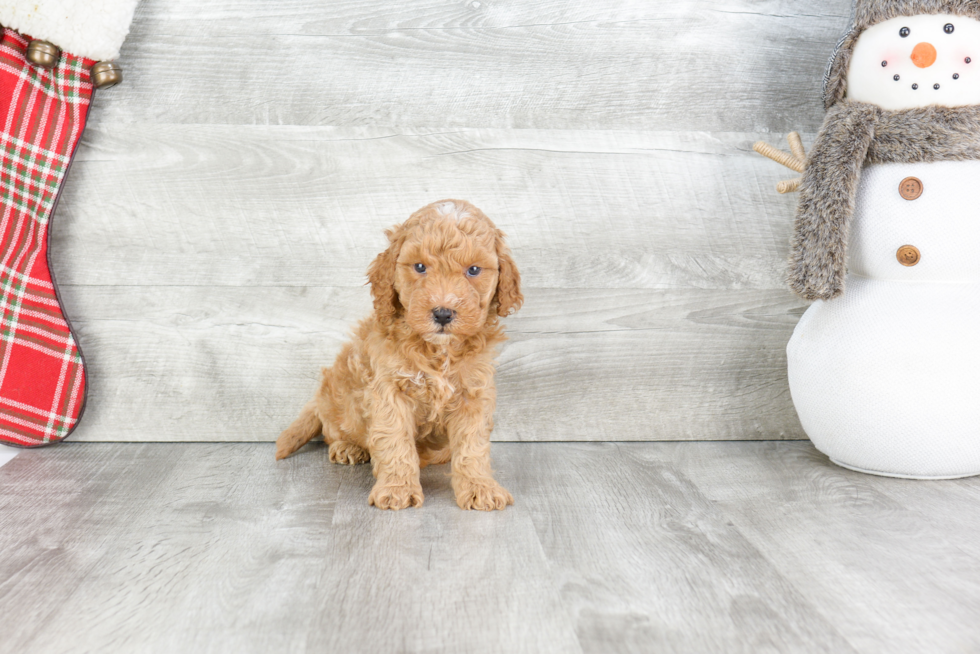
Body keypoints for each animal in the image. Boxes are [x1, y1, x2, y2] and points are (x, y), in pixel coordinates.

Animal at [272, 200, 524, 512]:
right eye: (419, 267)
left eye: (474, 270)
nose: (443, 313)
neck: (438, 351)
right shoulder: (389, 390)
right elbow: (394, 440)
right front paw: (397, 489)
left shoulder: (473, 392)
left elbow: (472, 446)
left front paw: (480, 487)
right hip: (335, 396)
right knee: (333, 430)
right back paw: (348, 447)